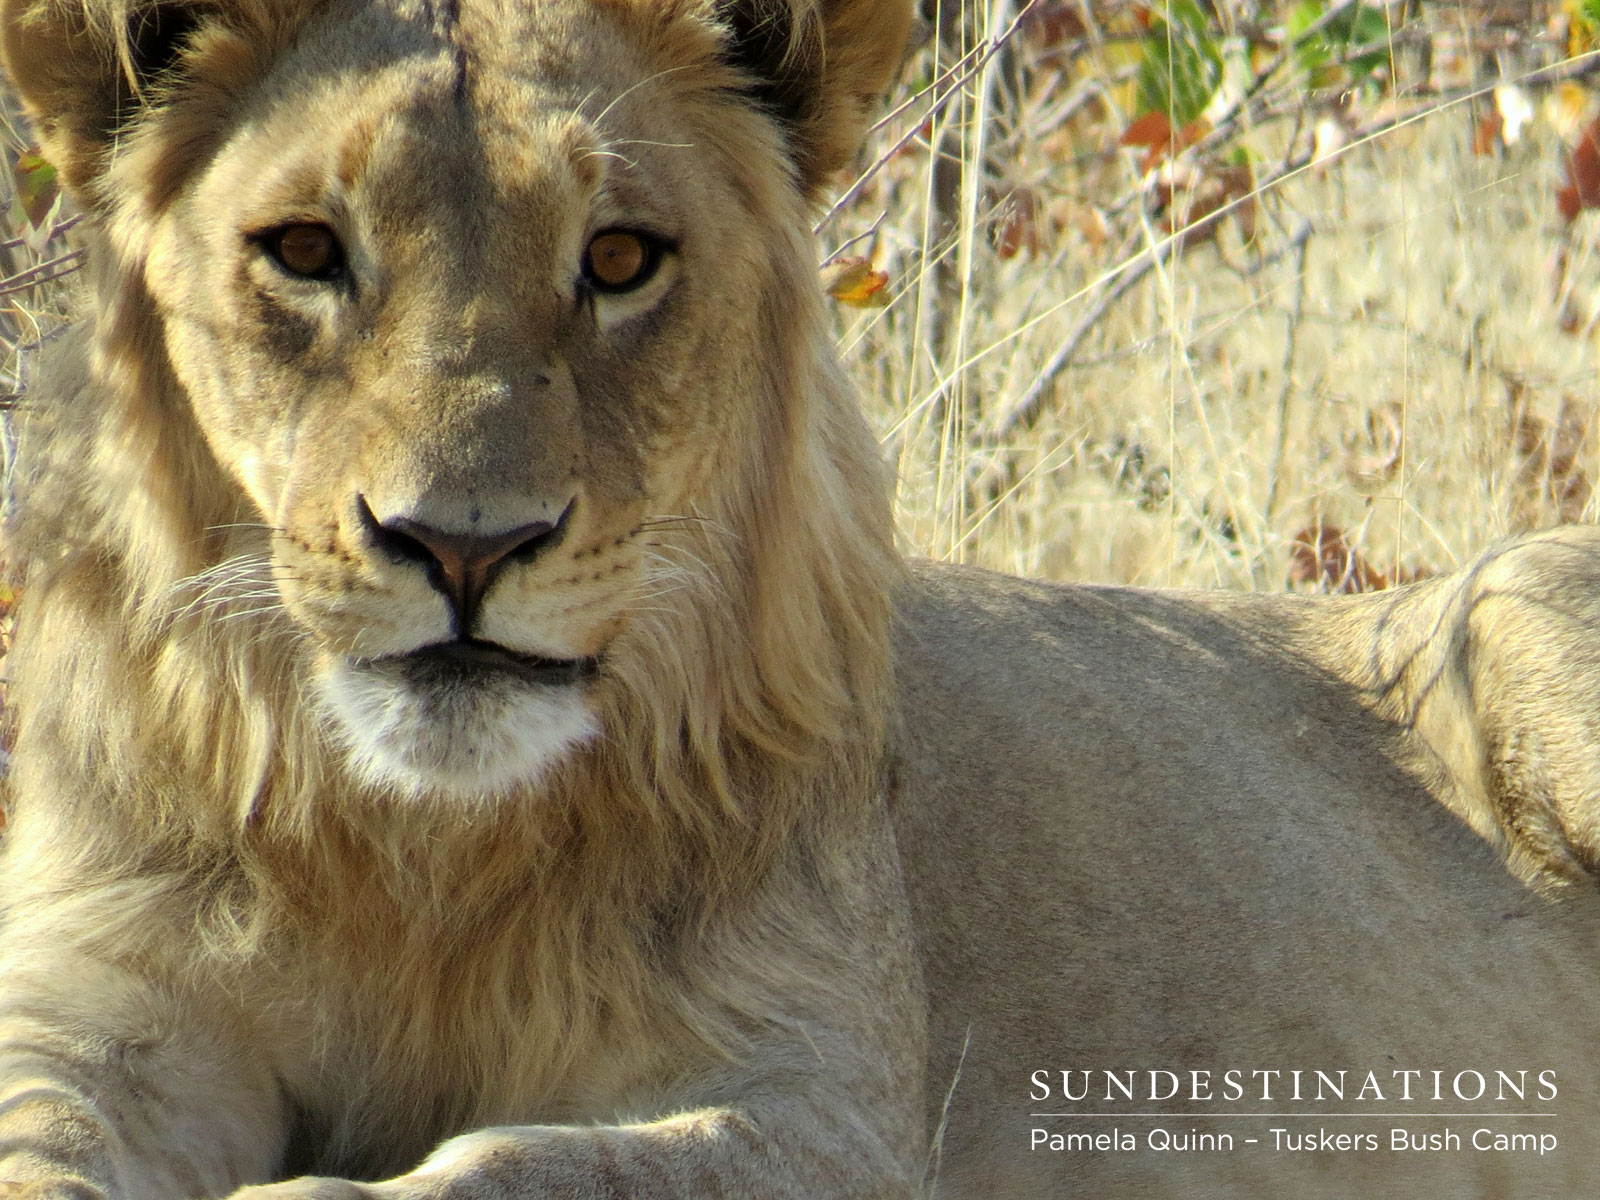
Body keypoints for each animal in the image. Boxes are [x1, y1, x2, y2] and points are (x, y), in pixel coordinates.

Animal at [2, 0, 1600, 1197]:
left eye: (620, 258)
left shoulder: (821, 1103)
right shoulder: (90, 1015)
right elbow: (50, 1143)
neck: (427, 856)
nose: (462, 547)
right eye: (305, 251)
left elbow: (517, 1165)